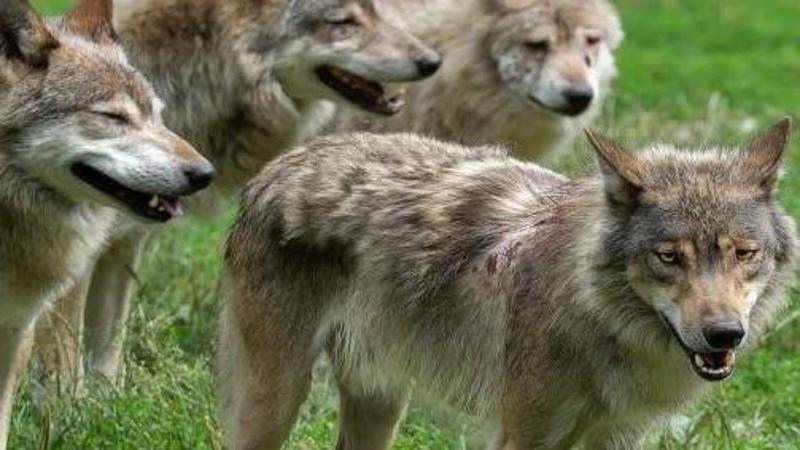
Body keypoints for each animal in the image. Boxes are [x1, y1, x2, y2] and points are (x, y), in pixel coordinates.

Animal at [37, 0, 442, 382]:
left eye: (373, 12)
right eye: (343, 22)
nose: (431, 62)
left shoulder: (123, 246)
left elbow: (107, 357)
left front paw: (99, 404)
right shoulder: (77, 258)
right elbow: (65, 366)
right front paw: (64, 409)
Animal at [218, 120, 796, 449]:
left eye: (743, 254)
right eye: (669, 257)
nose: (725, 334)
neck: (597, 319)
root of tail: (278, 166)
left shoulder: (616, 439)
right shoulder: (522, 434)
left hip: (379, 402)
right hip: (274, 402)